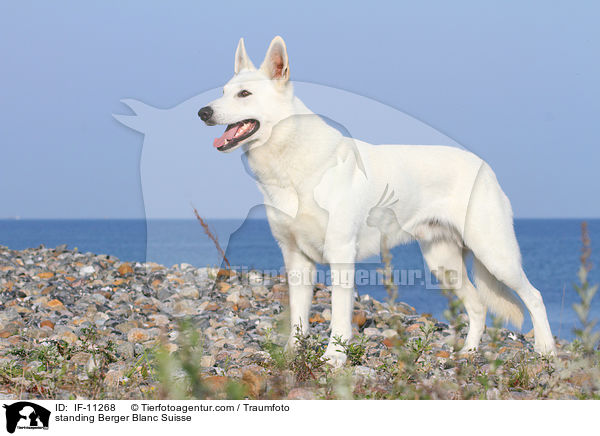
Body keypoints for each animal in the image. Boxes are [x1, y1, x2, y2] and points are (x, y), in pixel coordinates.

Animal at [199, 36, 556, 364]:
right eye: (223, 92)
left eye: (244, 94)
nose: (203, 112)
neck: (292, 162)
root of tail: (486, 168)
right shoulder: (296, 259)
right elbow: (299, 318)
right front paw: (291, 356)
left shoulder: (341, 254)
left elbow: (339, 318)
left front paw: (334, 359)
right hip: (444, 264)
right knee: (479, 305)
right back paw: (468, 353)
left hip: (496, 256)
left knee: (535, 296)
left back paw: (546, 350)